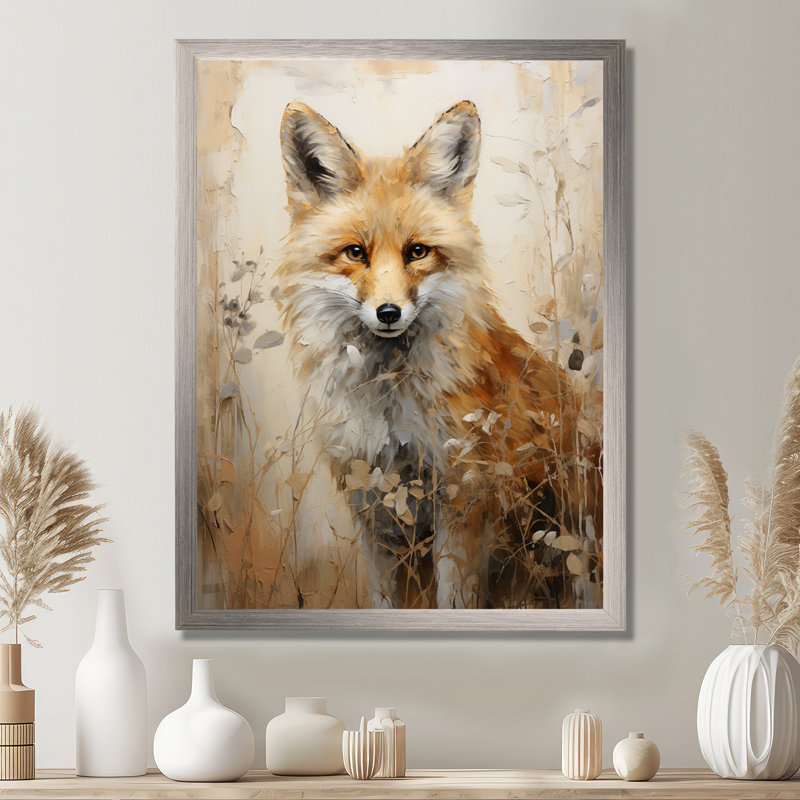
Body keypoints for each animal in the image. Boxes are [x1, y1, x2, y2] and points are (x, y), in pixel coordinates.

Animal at [277, 100, 601, 609]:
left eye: (417, 252)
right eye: (355, 253)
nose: (388, 312)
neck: (389, 404)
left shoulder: (464, 497)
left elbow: (455, 598)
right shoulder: (372, 502)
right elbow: (384, 600)